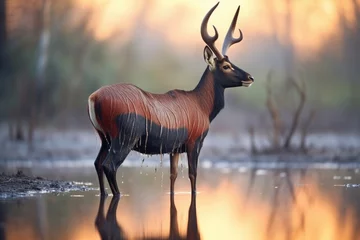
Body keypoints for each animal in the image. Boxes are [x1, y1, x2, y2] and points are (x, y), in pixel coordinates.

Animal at [88, 2, 255, 197]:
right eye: (226, 66)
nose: (250, 77)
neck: (201, 105)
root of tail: (94, 97)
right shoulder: (194, 142)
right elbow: (193, 175)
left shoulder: (174, 149)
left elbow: (172, 177)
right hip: (124, 138)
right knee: (109, 165)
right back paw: (118, 193)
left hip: (104, 138)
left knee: (98, 163)